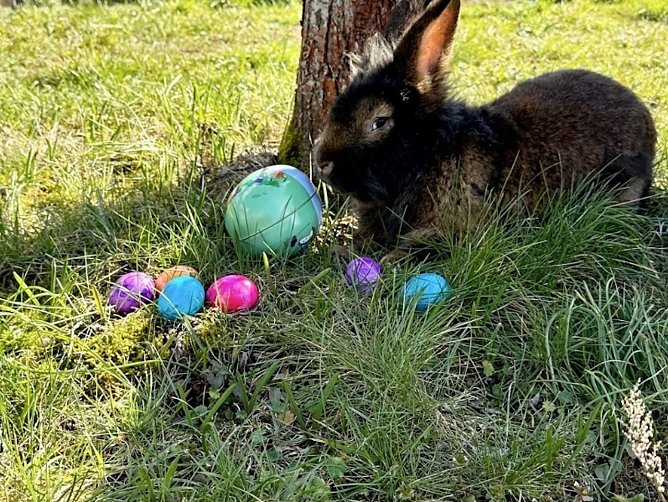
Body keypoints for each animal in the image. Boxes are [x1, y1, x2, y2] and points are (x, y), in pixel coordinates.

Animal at [313, 0, 656, 261]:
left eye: (379, 121)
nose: (321, 162)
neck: (427, 155)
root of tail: (645, 120)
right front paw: (342, 250)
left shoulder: (456, 224)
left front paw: (386, 263)